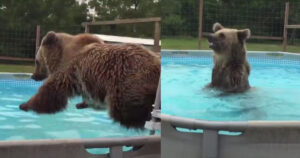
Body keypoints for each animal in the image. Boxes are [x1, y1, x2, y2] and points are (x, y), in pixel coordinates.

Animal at [19, 31, 161, 128]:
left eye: (36, 61)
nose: (33, 76)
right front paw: (82, 104)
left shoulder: (68, 69)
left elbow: (51, 91)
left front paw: (26, 105)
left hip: (128, 81)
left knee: (126, 108)